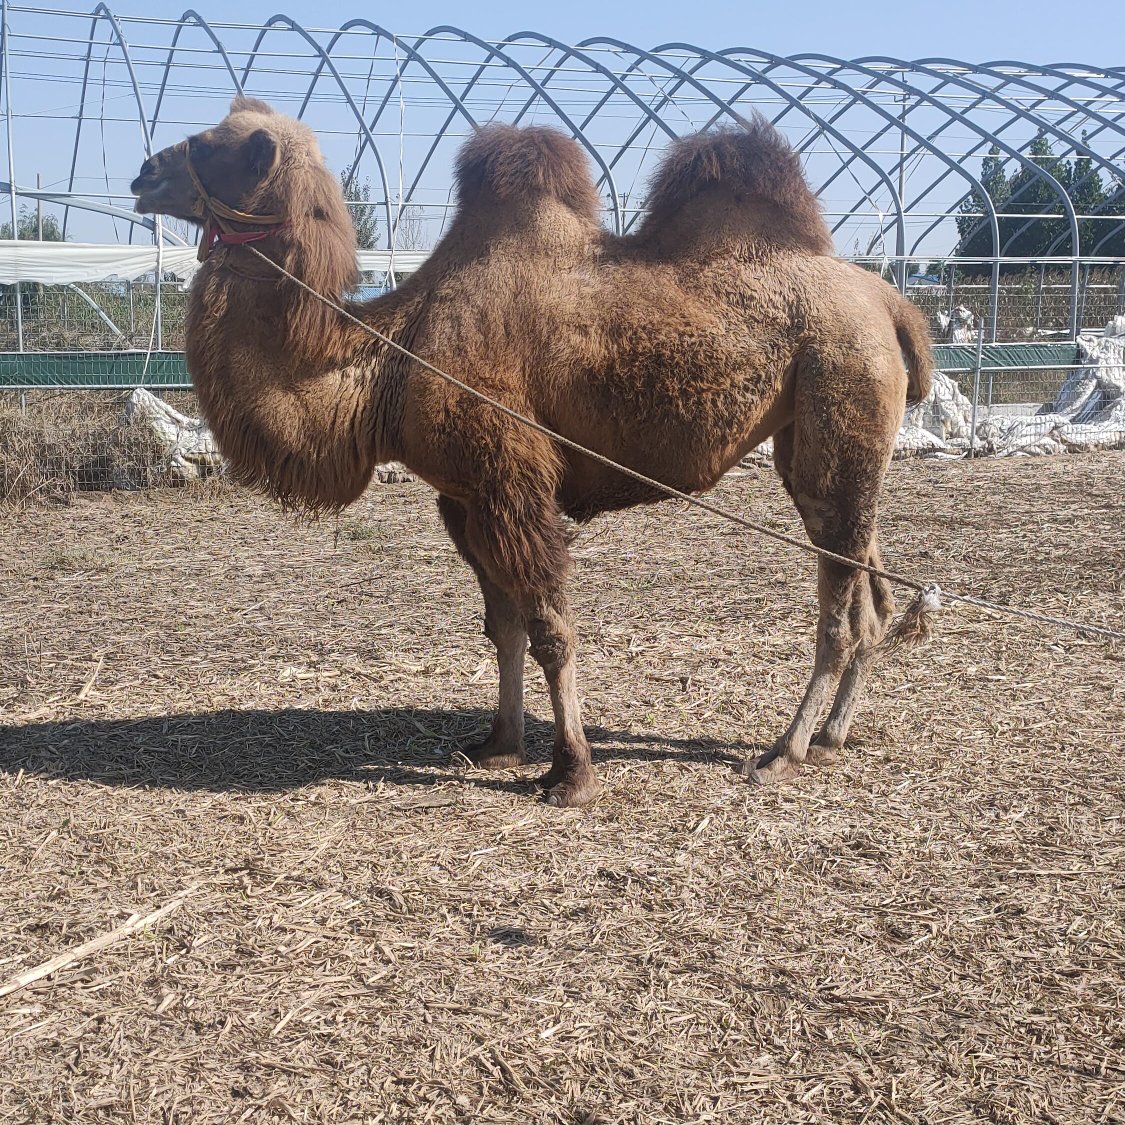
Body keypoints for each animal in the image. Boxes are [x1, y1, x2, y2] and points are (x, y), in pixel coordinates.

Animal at [131, 94, 936, 801]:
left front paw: (570, 772)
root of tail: (893, 304)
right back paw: (831, 735)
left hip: (841, 386)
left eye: (210, 144)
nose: (144, 172)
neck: (388, 358)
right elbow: (503, 625)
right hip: (819, 444)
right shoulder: (463, 498)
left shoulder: (511, 481)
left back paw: (785, 747)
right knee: (869, 584)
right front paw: (498, 743)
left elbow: (550, 627)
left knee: (838, 602)